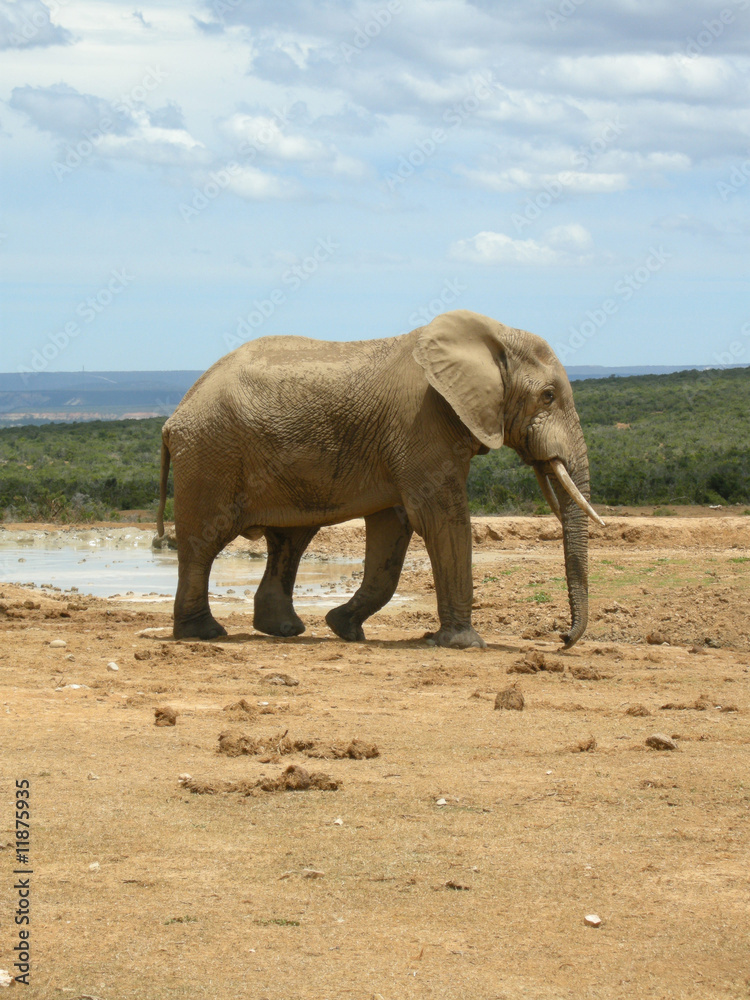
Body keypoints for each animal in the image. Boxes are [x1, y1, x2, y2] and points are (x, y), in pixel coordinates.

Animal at [154, 309, 603, 649]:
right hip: (211, 454)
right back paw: (204, 633)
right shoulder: (421, 422)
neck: (491, 336)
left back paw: (284, 630)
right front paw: (465, 644)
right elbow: (440, 519)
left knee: (290, 540)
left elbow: (393, 531)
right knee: (205, 540)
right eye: (548, 396)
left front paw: (344, 628)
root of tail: (174, 417)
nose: (562, 638)